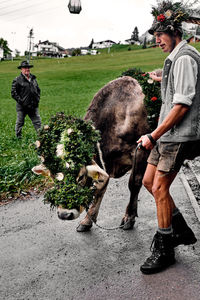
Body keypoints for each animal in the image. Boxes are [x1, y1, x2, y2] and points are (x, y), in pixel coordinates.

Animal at [32, 71, 161, 232]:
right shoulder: (103, 161)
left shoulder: (141, 151)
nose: (64, 214)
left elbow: (134, 183)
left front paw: (129, 218)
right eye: (52, 176)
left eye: (81, 176)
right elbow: (100, 187)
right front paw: (87, 220)